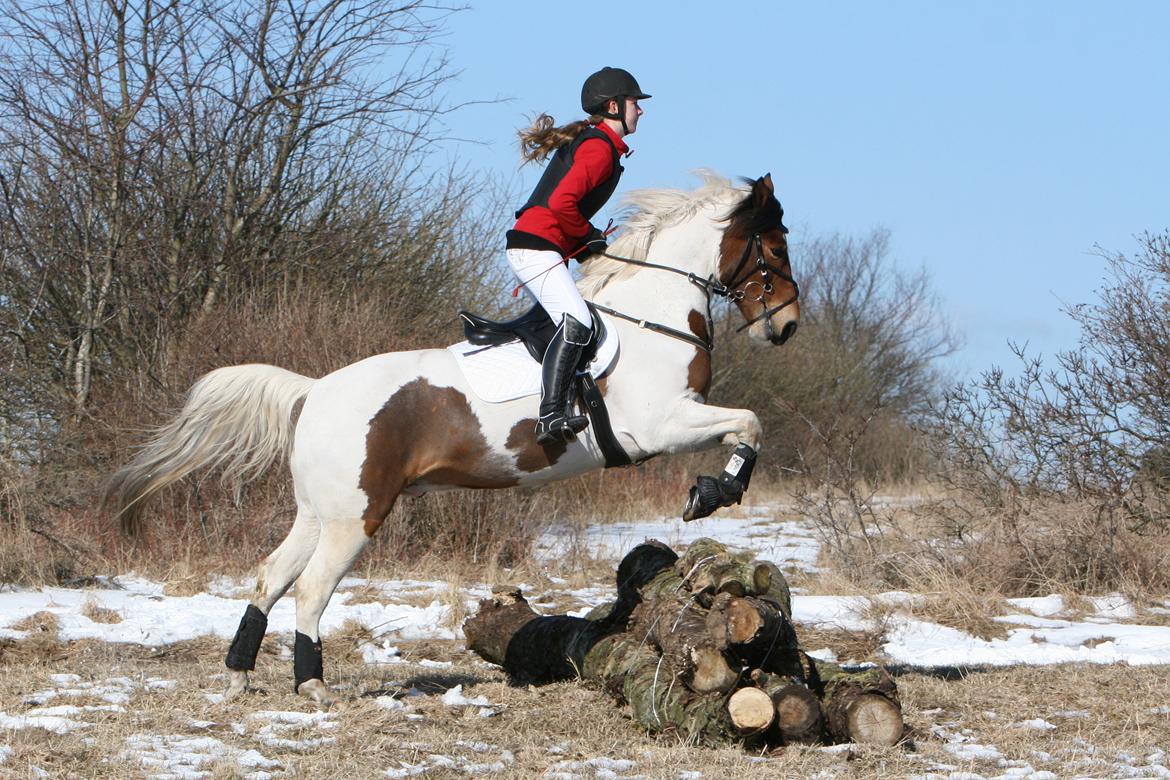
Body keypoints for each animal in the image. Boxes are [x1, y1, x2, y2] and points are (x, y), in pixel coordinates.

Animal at [105, 171, 801, 706]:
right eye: (773, 245)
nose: (787, 325)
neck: (651, 312)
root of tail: (315, 389)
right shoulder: (661, 425)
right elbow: (751, 422)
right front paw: (712, 493)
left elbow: (749, 423)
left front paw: (715, 490)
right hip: (357, 515)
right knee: (310, 587)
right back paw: (313, 686)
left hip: (318, 511)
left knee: (270, 576)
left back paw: (239, 676)